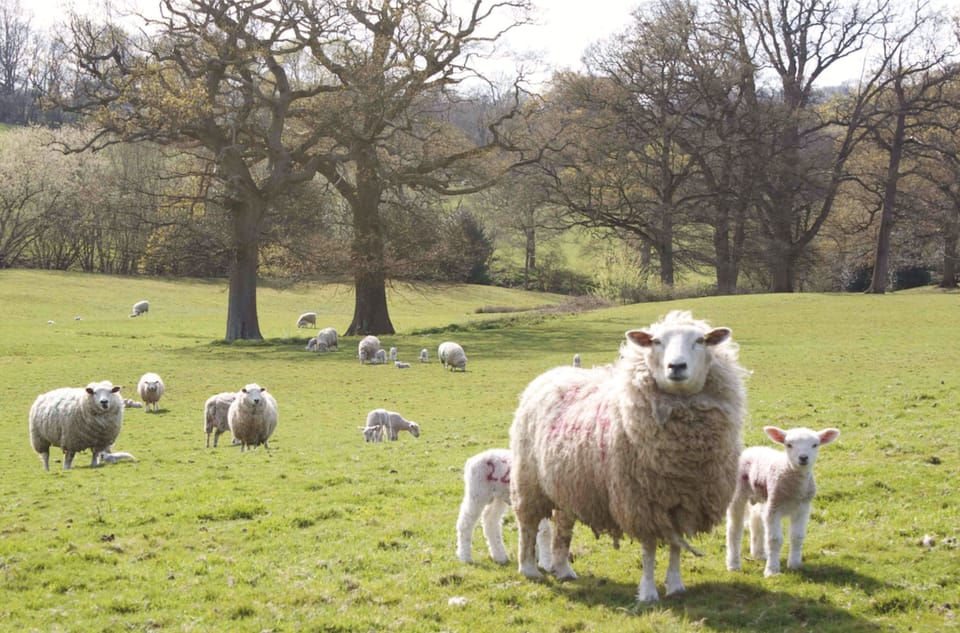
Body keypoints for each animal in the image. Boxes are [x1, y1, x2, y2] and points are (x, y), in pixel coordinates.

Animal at [510, 310, 748, 602]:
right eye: (656, 341)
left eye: (700, 340)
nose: (676, 366)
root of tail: (555, 373)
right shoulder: (641, 499)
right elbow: (649, 549)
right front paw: (648, 592)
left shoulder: (682, 502)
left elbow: (675, 545)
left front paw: (675, 585)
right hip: (528, 479)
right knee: (527, 524)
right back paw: (529, 569)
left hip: (568, 483)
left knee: (563, 527)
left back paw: (563, 569)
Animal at [725, 426, 840, 577]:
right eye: (789, 445)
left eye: (815, 445)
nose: (803, 458)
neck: (794, 489)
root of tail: (751, 449)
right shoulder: (774, 508)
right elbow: (774, 540)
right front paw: (772, 570)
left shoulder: (803, 508)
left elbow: (797, 537)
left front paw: (795, 565)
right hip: (738, 494)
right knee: (734, 529)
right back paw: (733, 564)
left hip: (762, 497)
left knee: (756, 520)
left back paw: (759, 553)